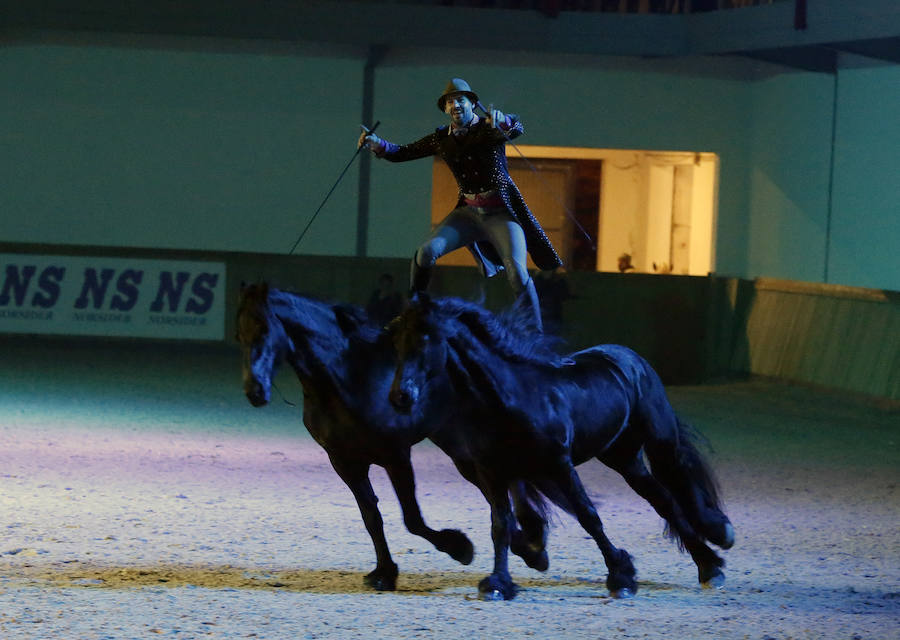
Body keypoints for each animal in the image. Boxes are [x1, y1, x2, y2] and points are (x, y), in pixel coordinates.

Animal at [236, 282, 552, 592]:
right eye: (240, 335)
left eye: (263, 329)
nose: (254, 391)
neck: (348, 378)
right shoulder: (345, 462)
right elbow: (371, 518)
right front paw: (384, 573)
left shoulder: (395, 456)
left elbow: (412, 519)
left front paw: (459, 547)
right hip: (460, 450)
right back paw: (529, 546)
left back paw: (532, 544)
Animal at [390, 294, 736, 600]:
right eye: (397, 342)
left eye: (425, 338)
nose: (400, 396)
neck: (510, 399)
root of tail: (627, 356)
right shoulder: (491, 470)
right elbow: (500, 524)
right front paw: (498, 584)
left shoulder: (559, 464)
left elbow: (588, 516)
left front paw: (621, 577)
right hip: (622, 456)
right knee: (662, 499)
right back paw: (709, 567)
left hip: (659, 442)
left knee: (677, 481)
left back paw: (717, 545)